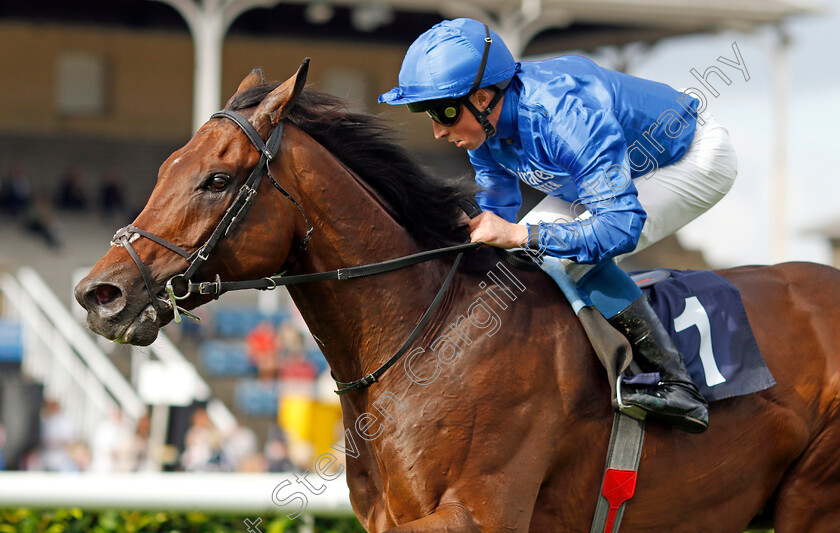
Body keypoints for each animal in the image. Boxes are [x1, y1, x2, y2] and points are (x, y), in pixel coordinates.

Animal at [74, 63, 840, 532]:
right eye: (168, 167)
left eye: (216, 180)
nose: (98, 292)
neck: (431, 336)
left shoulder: (479, 512)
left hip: (812, 498)